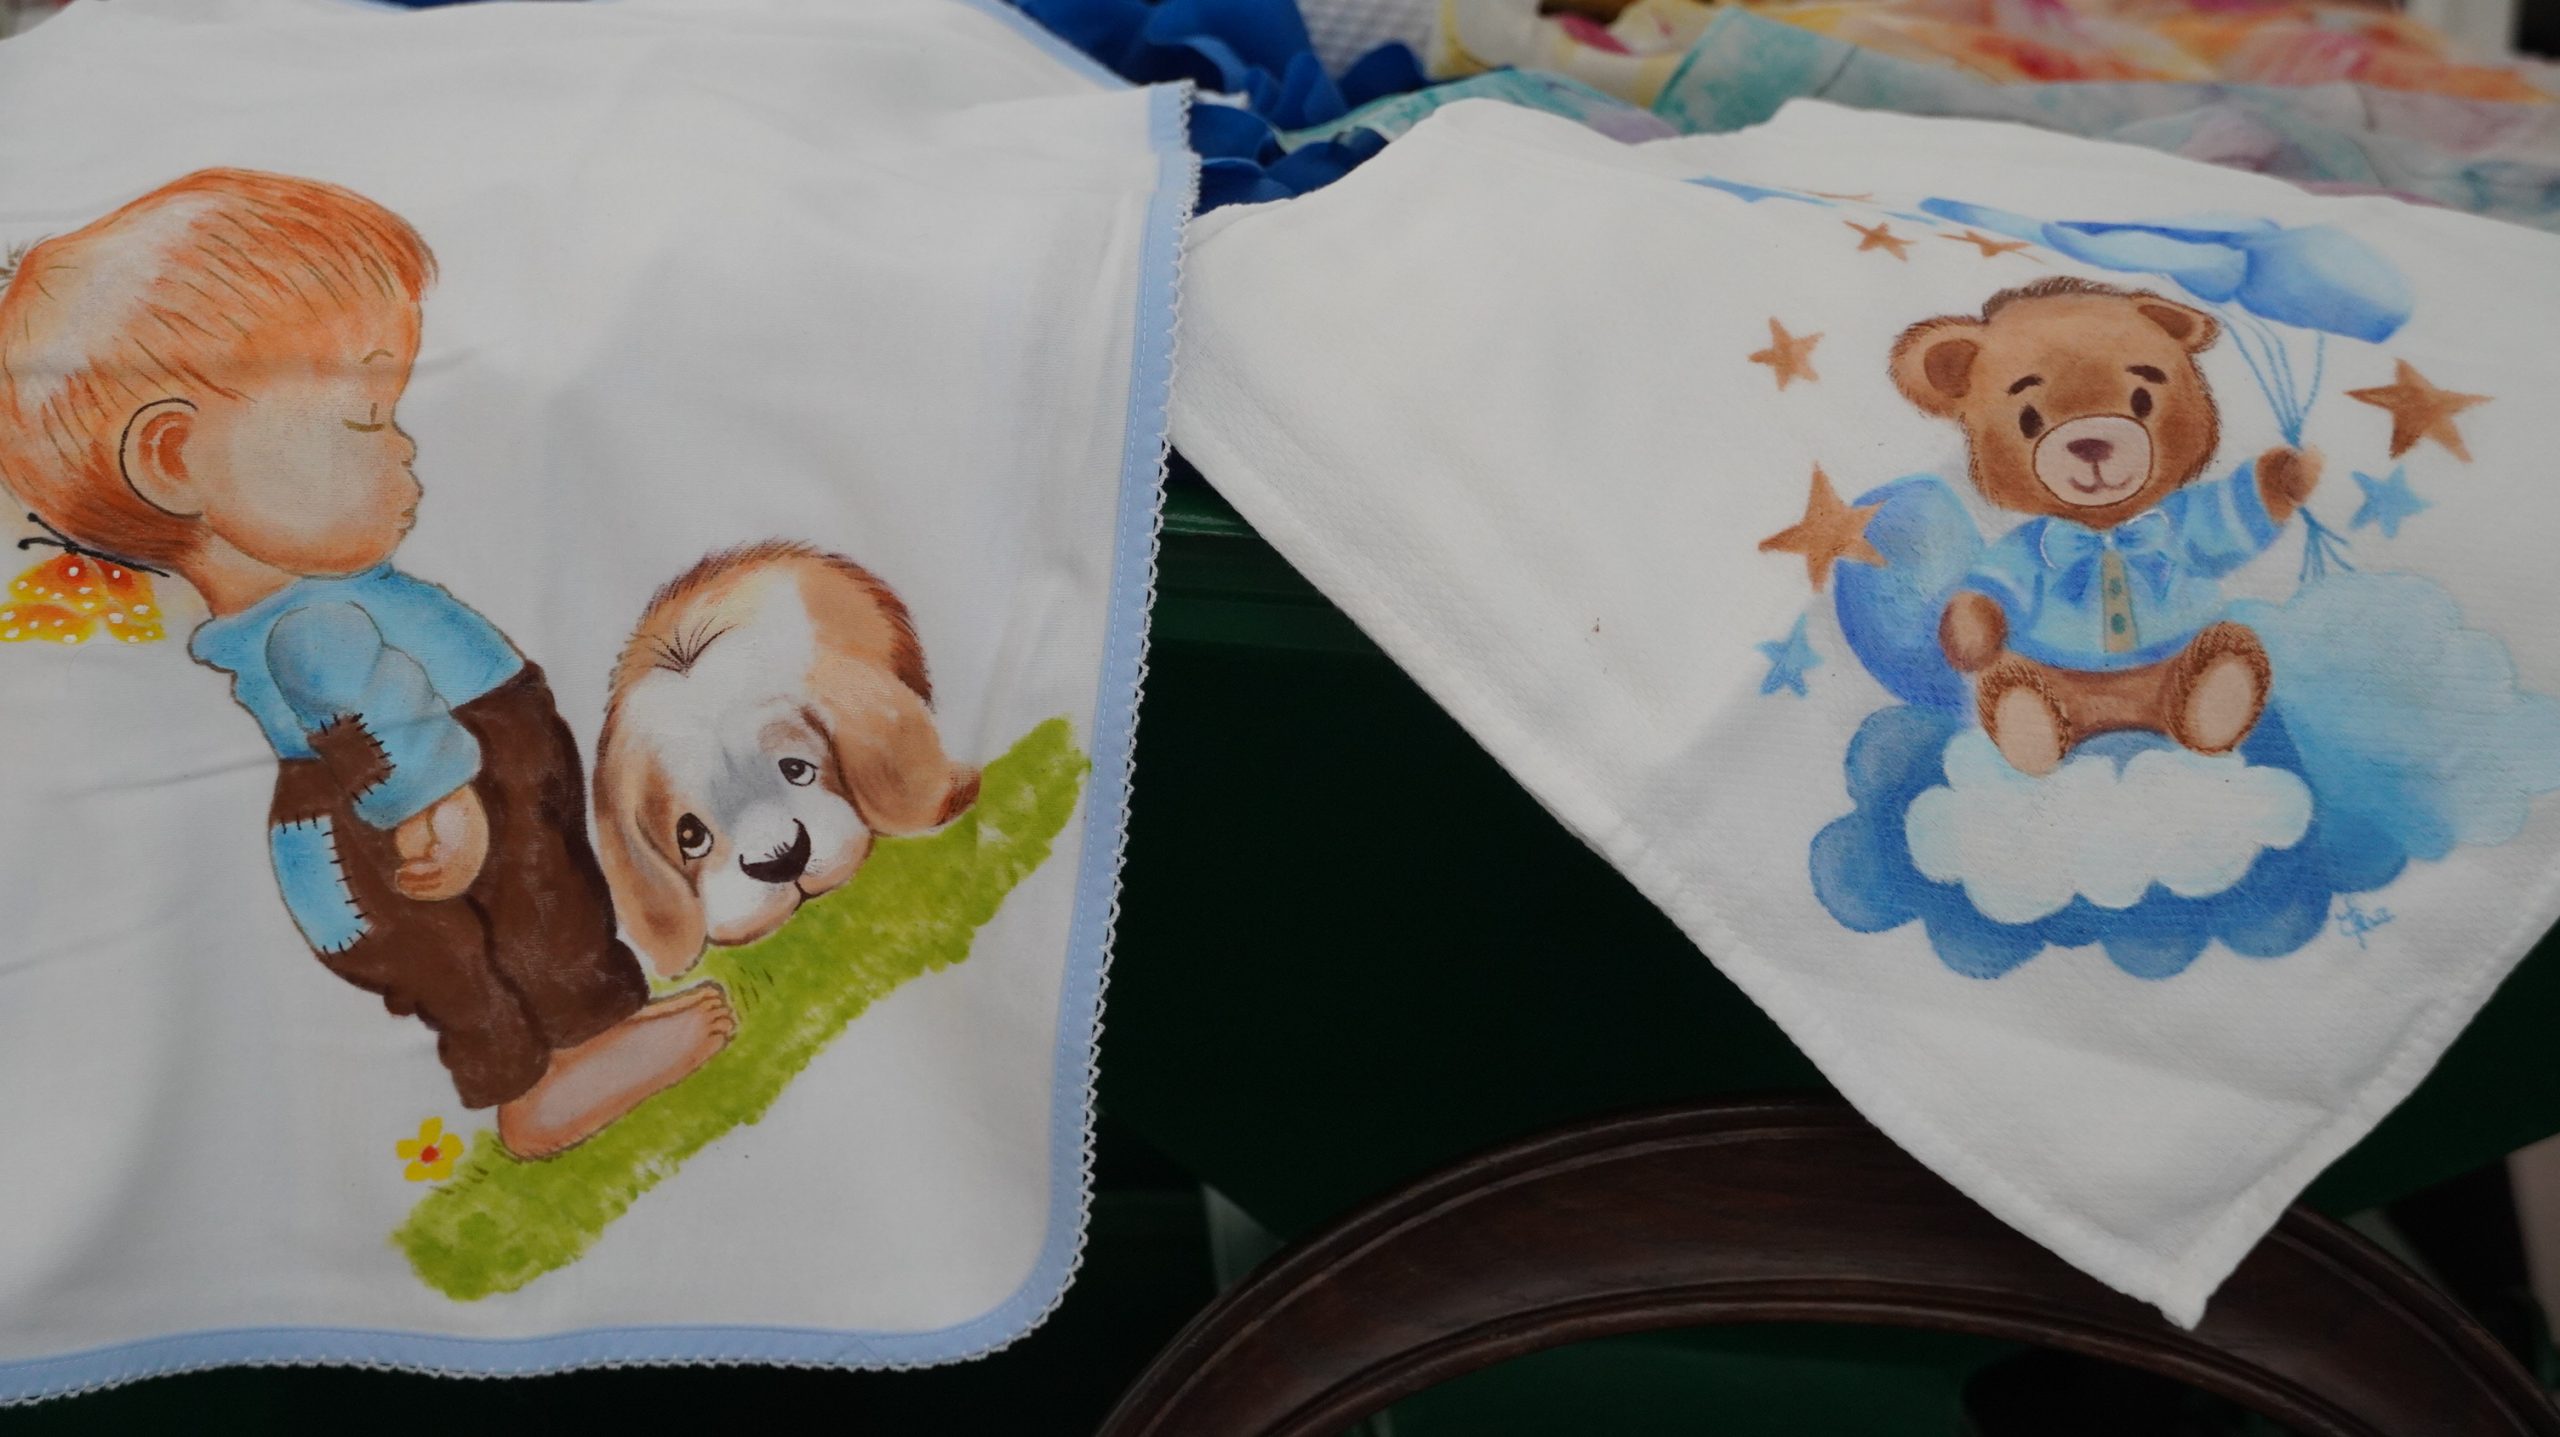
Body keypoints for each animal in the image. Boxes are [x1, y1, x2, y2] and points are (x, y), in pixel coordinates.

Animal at [1889, 276, 2321, 777]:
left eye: (2143, 399)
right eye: (2028, 419)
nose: (2091, 443)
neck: (2104, 532)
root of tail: (2121, 714)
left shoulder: (2185, 521)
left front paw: (2293, 472)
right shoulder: (2023, 550)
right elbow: (1984, 594)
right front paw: (1969, 643)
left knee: (2215, 663)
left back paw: (2217, 691)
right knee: (2023, 688)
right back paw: (2026, 717)